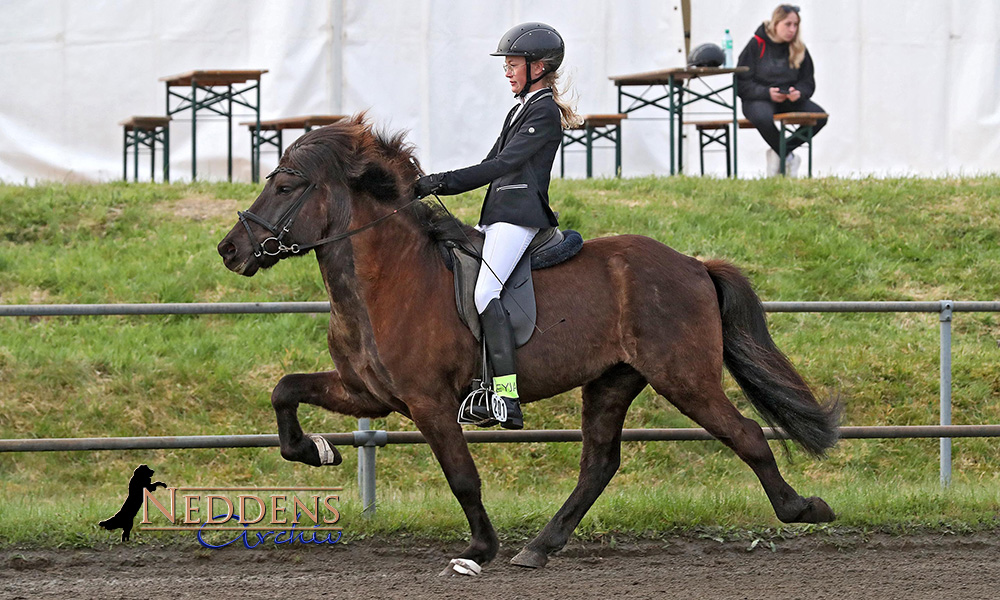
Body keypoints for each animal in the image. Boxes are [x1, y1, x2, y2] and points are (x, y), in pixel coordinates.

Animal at [219, 113, 844, 576]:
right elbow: (284, 390)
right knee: (599, 464)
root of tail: (693, 264)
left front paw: (477, 551)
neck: (386, 279)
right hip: (613, 380)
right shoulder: (367, 393)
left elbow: (462, 476)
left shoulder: (428, 402)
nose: (229, 250)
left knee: (745, 435)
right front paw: (315, 451)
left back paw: (804, 508)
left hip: (683, 377)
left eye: (285, 186)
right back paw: (539, 547)